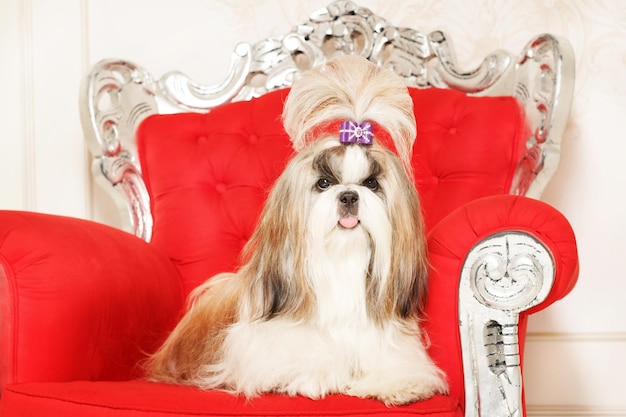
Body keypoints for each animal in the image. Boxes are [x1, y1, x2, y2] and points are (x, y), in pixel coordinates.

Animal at [147, 53, 446, 402]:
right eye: (323, 183)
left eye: (371, 183)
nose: (348, 196)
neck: (342, 264)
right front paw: (320, 374)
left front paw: (399, 384)